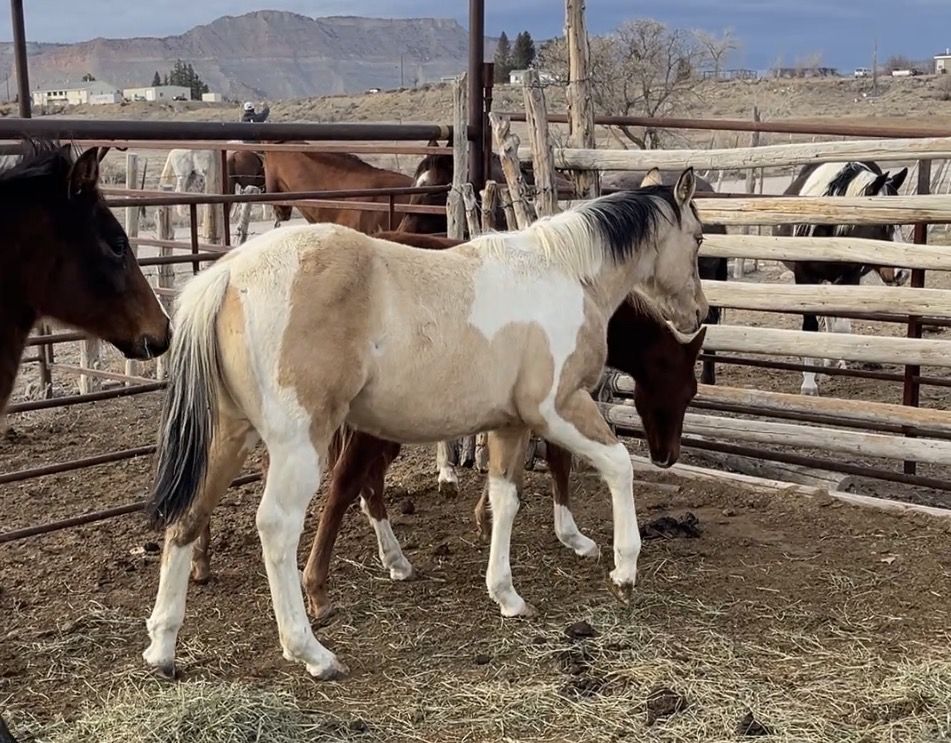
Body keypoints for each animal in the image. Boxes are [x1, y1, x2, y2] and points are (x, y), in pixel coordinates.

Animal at [142, 171, 707, 680]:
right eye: (699, 237)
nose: (699, 312)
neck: (564, 274)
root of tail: (227, 276)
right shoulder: (558, 407)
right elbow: (617, 466)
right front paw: (624, 569)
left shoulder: (510, 424)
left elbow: (504, 500)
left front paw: (506, 595)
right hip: (299, 445)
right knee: (278, 527)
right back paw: (312, 652)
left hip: (228, 436)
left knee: (187, 516)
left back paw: (163, 648)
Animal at [775, 161, 909, 395]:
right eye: (883, 223)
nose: (901, 273)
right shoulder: (805, 277)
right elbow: (810, 325)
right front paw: (809, 383)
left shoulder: (849, 277)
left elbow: (841, 327)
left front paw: (831, 362)